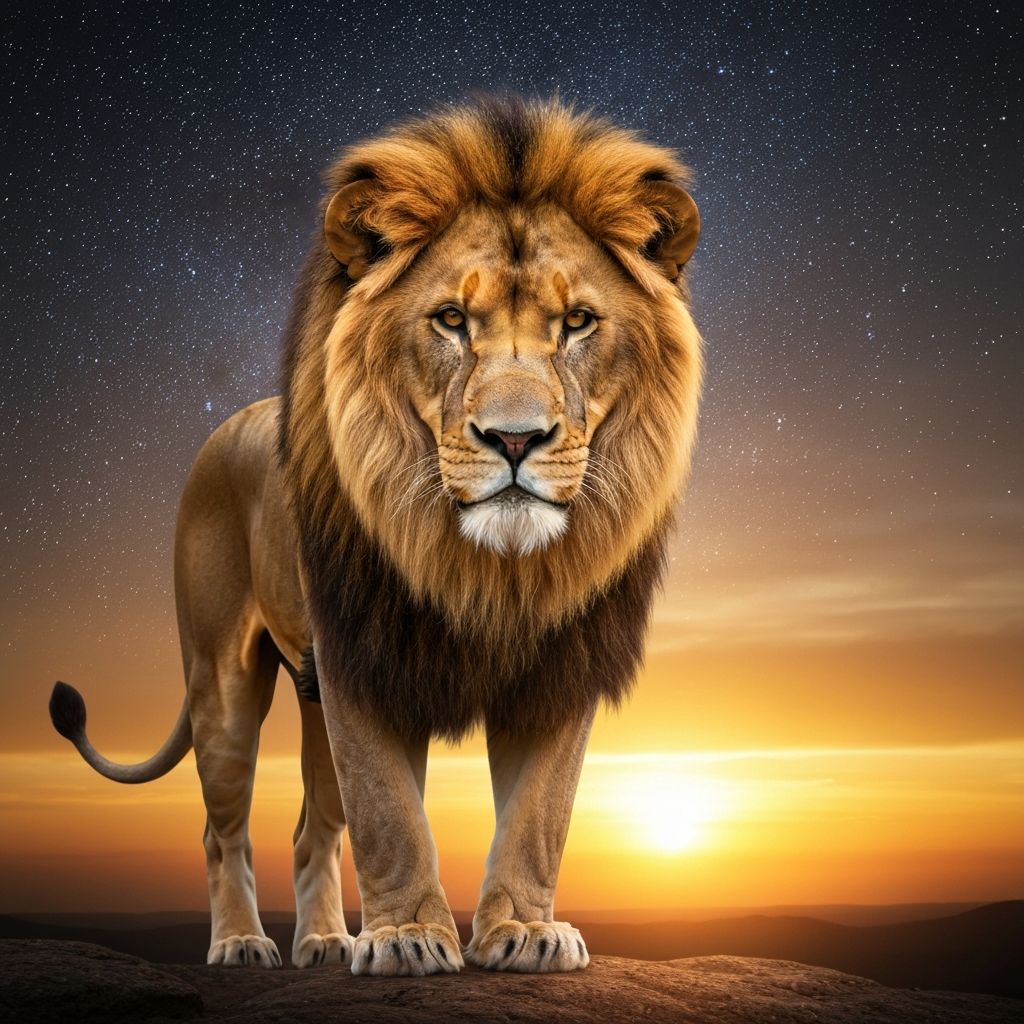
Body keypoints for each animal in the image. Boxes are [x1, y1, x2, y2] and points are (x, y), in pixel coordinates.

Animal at [49, 95, 702, 975]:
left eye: (577, 322)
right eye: (452, 320)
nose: (516, 439)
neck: (489, 569)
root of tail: (228, 426)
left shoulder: (559, 664)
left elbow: (540, 814)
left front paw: (524, 931)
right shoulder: (362, 656)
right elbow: (389, 813)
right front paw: (406, 939)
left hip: (308, 697)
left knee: (310, 830)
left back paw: (325, 942)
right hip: (223, 680)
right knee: (223, 829)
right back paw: (242, 944)